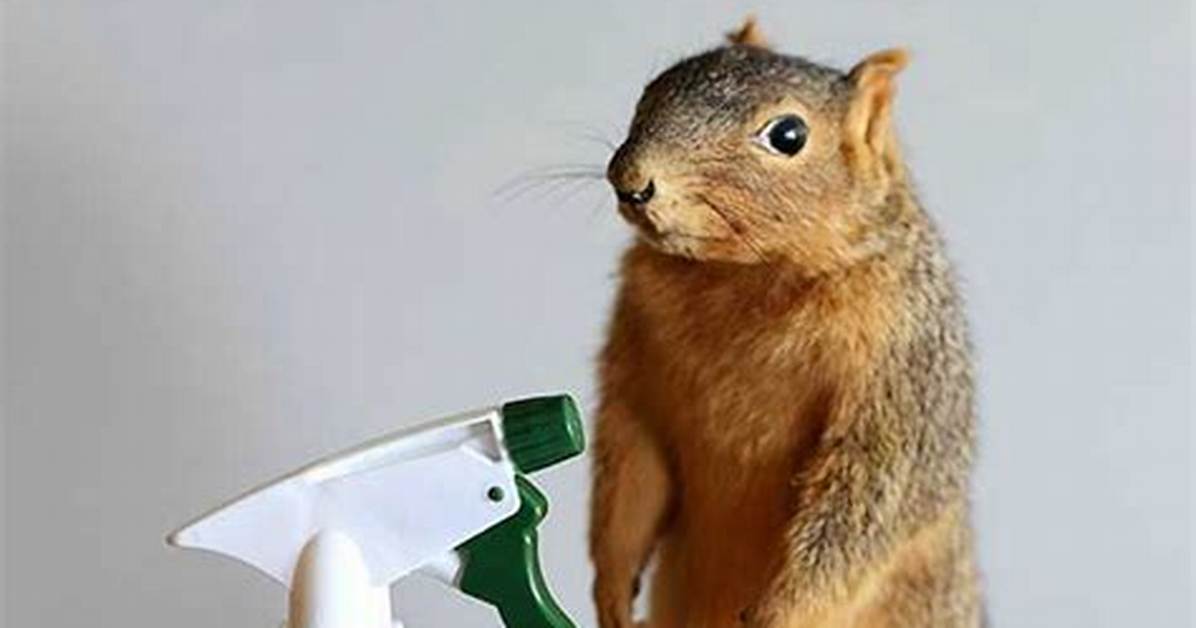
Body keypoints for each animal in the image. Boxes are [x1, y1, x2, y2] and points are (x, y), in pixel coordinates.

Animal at [589, 17, 983, 628]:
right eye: (652, 88)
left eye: (789, 135)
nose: (630, 181)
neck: (742, 277)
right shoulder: (637, 360)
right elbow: (631, 466)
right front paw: (611, 592)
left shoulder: (900, 379)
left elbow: (855, 518)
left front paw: (779, 614)